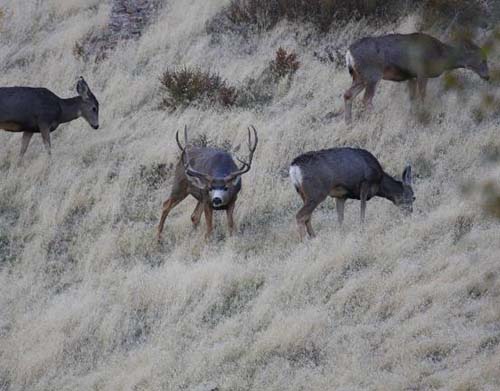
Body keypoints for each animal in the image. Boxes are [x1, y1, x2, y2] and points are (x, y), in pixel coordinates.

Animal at [344, 33, 488, 123]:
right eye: (482, 60)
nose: (487, 76)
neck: (440, 55)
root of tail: (349, 53)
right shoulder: (422, 72)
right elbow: (422, 95)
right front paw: (423, 112)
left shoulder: (411, 76)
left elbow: (412, 98)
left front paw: (412, 115)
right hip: (372, 74)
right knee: (366, 99)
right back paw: (376, 118)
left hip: (359, 77)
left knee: (348, 94)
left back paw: (349, 122)